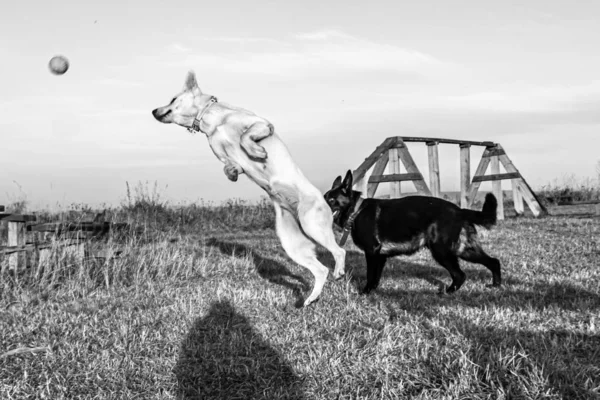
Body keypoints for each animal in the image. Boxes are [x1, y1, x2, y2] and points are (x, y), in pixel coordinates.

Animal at [152, 71, 344, 306]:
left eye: (172, 99)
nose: (153, 111)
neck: (214, 122)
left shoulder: (262, 123)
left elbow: (245, 137)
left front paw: (257, 151)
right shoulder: (225, 157)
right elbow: (229, 167)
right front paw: (233, 172)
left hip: (313, 225)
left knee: (339, 251)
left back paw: (339, 271)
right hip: (293, 245)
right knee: (320, 270)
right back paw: (311, 298)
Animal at [324, 170, 502, 296]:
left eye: (331, 200)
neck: (356, 210)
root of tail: (459, 211)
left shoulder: (372, 252)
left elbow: (370, 275)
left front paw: (365, 293)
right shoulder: (380, 256)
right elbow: (375, 278)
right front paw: (373, 292)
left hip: (442, 252)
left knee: (460, 274)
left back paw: (446, 292)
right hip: (463, 250)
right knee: (494, 262)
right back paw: (496, 286)